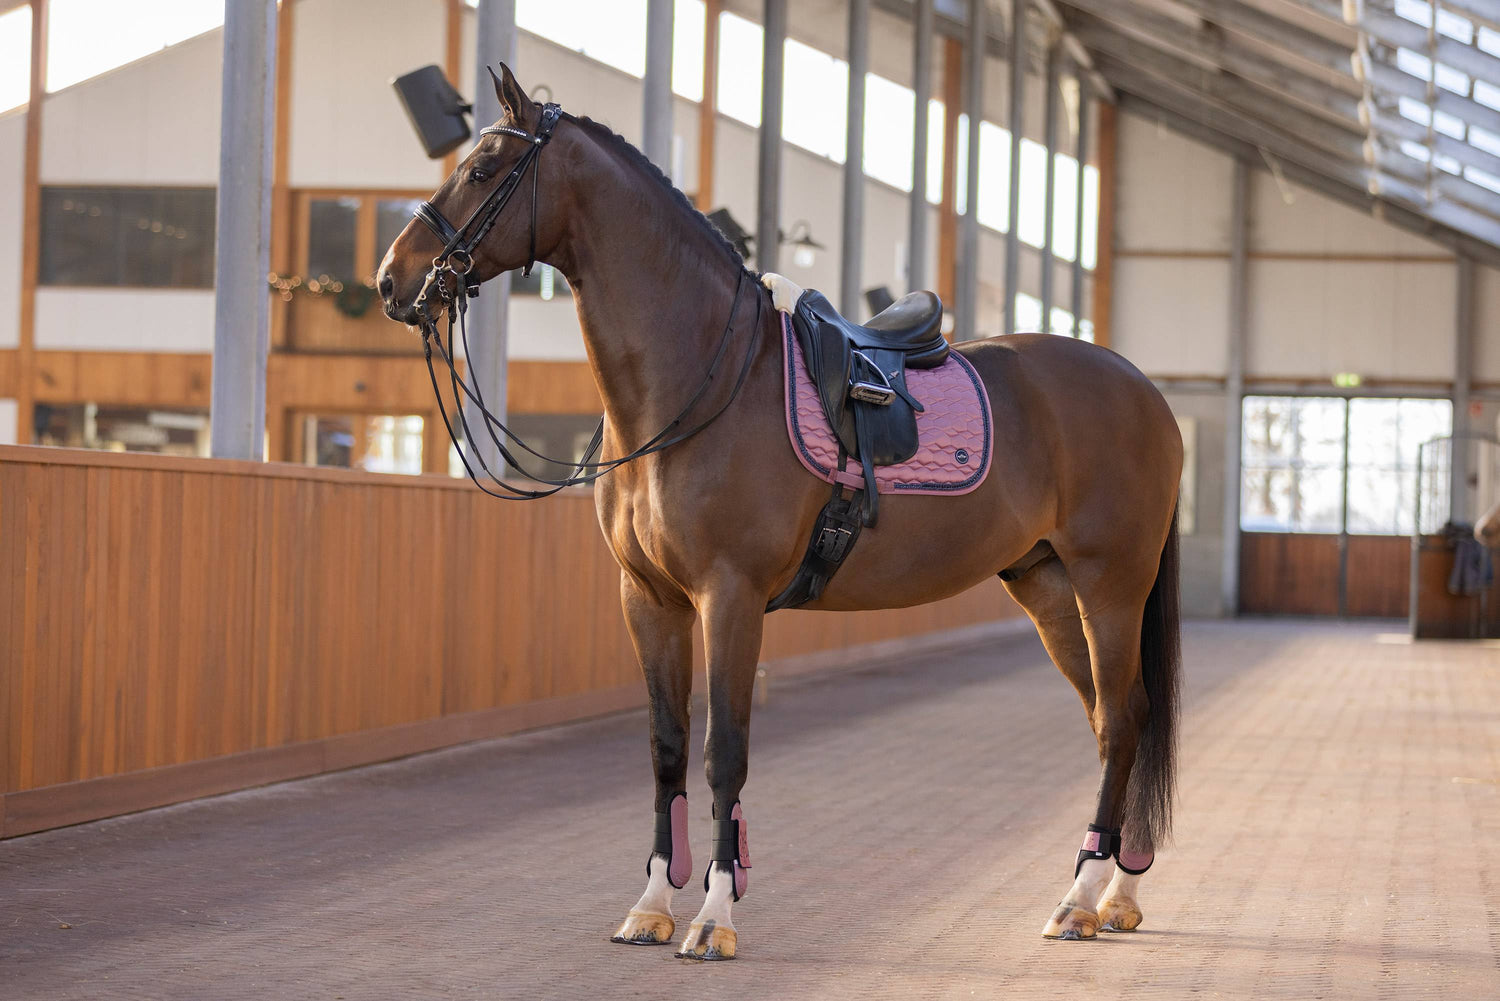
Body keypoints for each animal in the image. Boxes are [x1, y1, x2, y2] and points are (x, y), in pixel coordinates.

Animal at [375, 66, 1182, 960]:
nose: (393, 280)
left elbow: (724, 752)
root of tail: (1145, 390)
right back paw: (1114, 893)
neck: (698, 380)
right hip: (1044, 583)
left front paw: (714, 917)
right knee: (1113, 717)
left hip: (1110, 583)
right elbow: (666, 750)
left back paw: (1079, 899)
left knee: (1122, 721)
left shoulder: (729, 596)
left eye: (484, 167)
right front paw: (651, 905)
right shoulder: (648, 599)